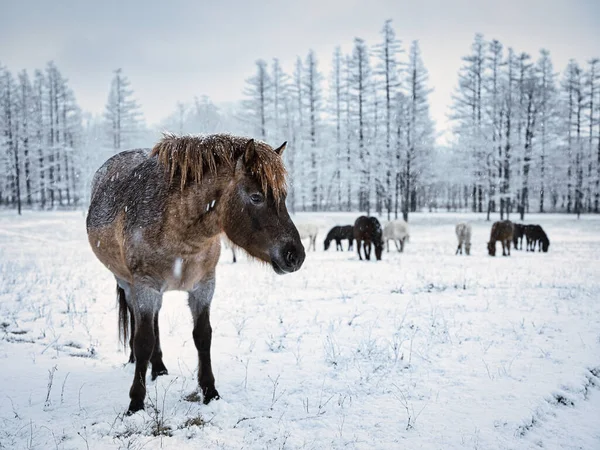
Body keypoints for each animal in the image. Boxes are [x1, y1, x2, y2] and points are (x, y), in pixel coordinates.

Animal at [86, 134, 304, 414]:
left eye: (283, 196)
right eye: (256, 197)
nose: (295, 255)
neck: (178, 228)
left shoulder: (203, 286)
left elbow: (203, 336)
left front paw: (210, 391)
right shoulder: (146, 286)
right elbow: (143, 340)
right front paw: (136, 403)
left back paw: (159, 369)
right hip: (127, 283)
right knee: (139, 320)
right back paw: (139, 361)